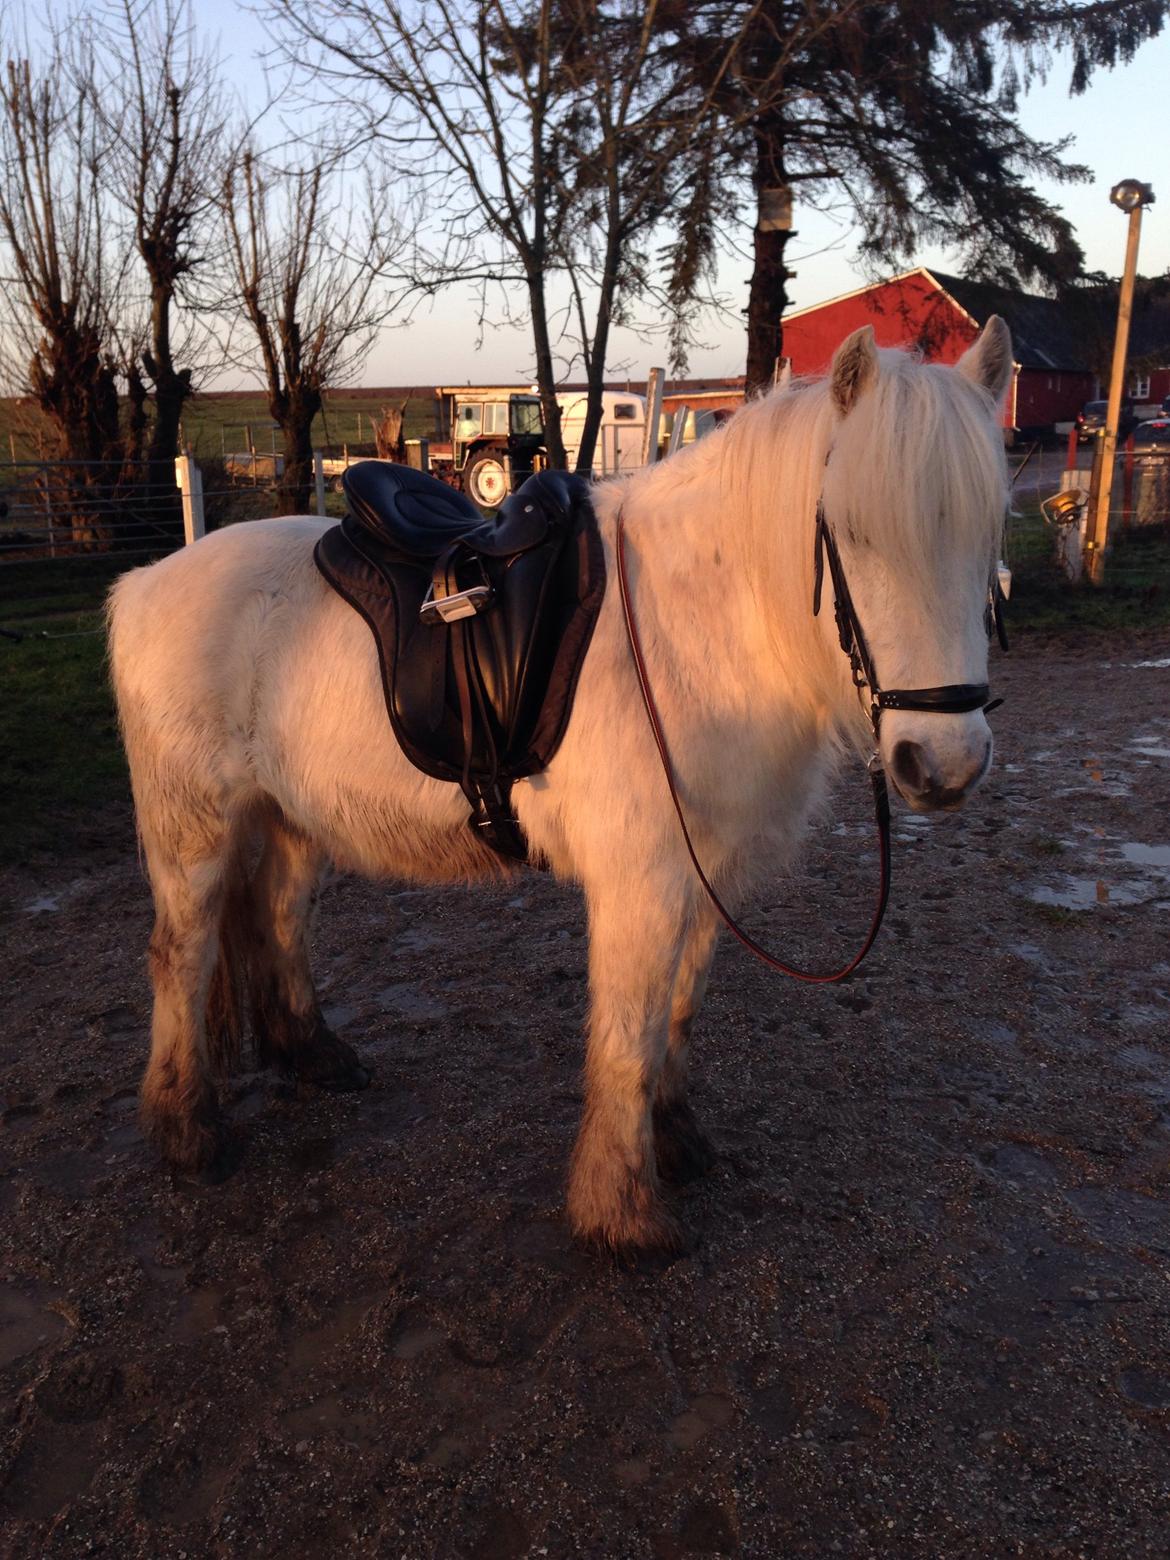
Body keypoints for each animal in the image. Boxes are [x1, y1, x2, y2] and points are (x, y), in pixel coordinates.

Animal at [107, 319, 1013, 1254]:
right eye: (856, 534)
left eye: (991, 531)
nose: (945, 764)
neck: (701, 630)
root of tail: (143, 583)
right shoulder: (640, 884)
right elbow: (627, 1035)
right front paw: (623, 1214)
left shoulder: (704, 880)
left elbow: (676, 1013)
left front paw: (674, 1141)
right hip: (195, 833)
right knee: (181, 956)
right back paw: (187, 1131)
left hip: (289, 818)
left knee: (280, 918)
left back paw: (313, 1055)